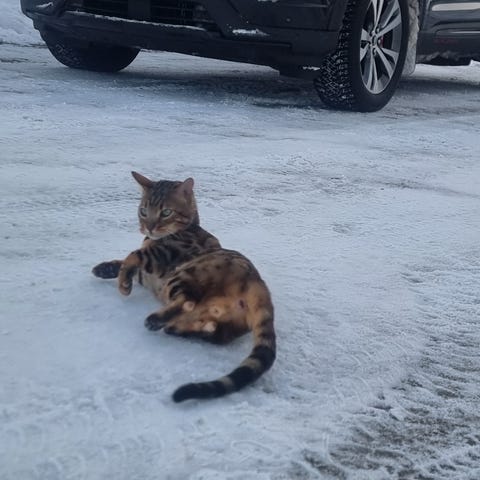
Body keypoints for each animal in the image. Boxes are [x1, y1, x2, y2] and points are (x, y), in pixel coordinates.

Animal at [92, 172, 276, 402]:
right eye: (143, 211)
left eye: (166, 212)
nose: (148, 227)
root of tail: (255, 281)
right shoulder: (147, 273)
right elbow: (125, 263)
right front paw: (104, 268)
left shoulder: (163, 254)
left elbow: (133, 256)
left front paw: (123, 284)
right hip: (225, 322)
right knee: (213, 329)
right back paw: (175, 327)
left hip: (183, 274)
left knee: (187, 301)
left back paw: (155, 320)